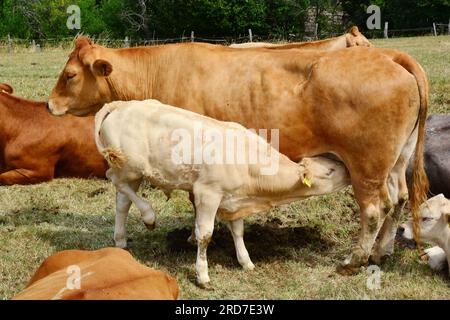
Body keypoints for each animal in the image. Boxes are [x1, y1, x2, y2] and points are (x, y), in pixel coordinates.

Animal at [96, 99, 352, 286]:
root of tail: (120, 104)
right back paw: (148, 216)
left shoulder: (234, 199)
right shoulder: (207, 193)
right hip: (128, 166)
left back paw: (121, 240)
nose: (349, 170)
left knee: (122, 202)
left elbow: (238, 231)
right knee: (114, 180)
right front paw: (202, 274)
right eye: (329, 171)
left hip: (133, 174)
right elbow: (205, 234)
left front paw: (246, 261)